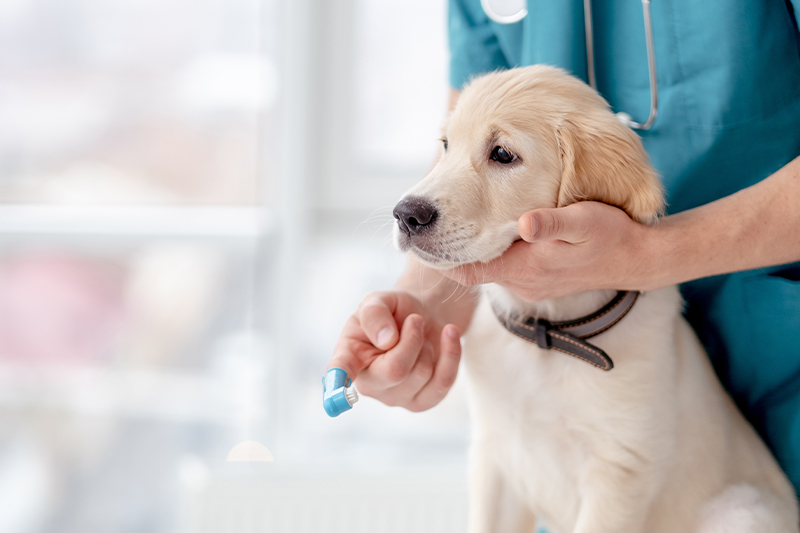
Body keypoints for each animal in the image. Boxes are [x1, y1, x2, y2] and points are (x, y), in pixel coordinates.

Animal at [390, 66, 796, 532]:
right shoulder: (494, 458)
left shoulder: (620, 472)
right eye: (445, 145)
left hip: (743, 511)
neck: (548, 332)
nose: (405, 214)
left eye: (503, 154)